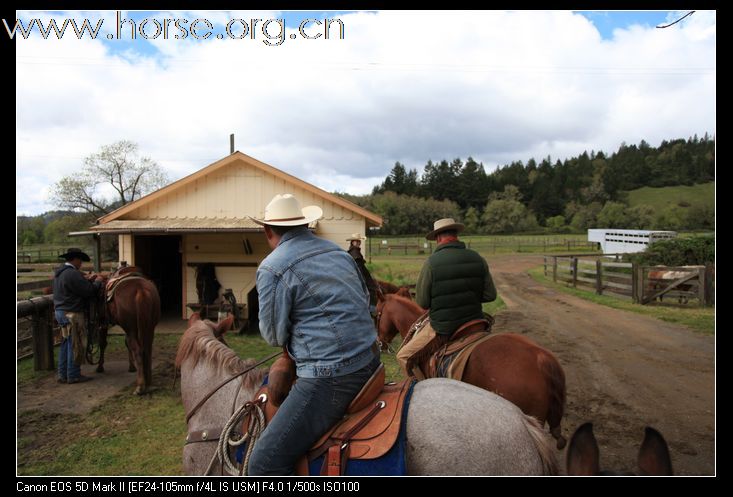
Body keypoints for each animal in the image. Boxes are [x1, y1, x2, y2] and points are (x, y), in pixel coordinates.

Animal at [91, 268, 160, 396]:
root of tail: (141, 290)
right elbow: (127, 344)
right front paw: (131, 367)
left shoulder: (103, 323)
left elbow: (103, 343)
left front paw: (100, 367)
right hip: (149, 327)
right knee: (147, 349)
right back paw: (149, 383)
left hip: (131, 328)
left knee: (138, 349)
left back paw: (140, 386)